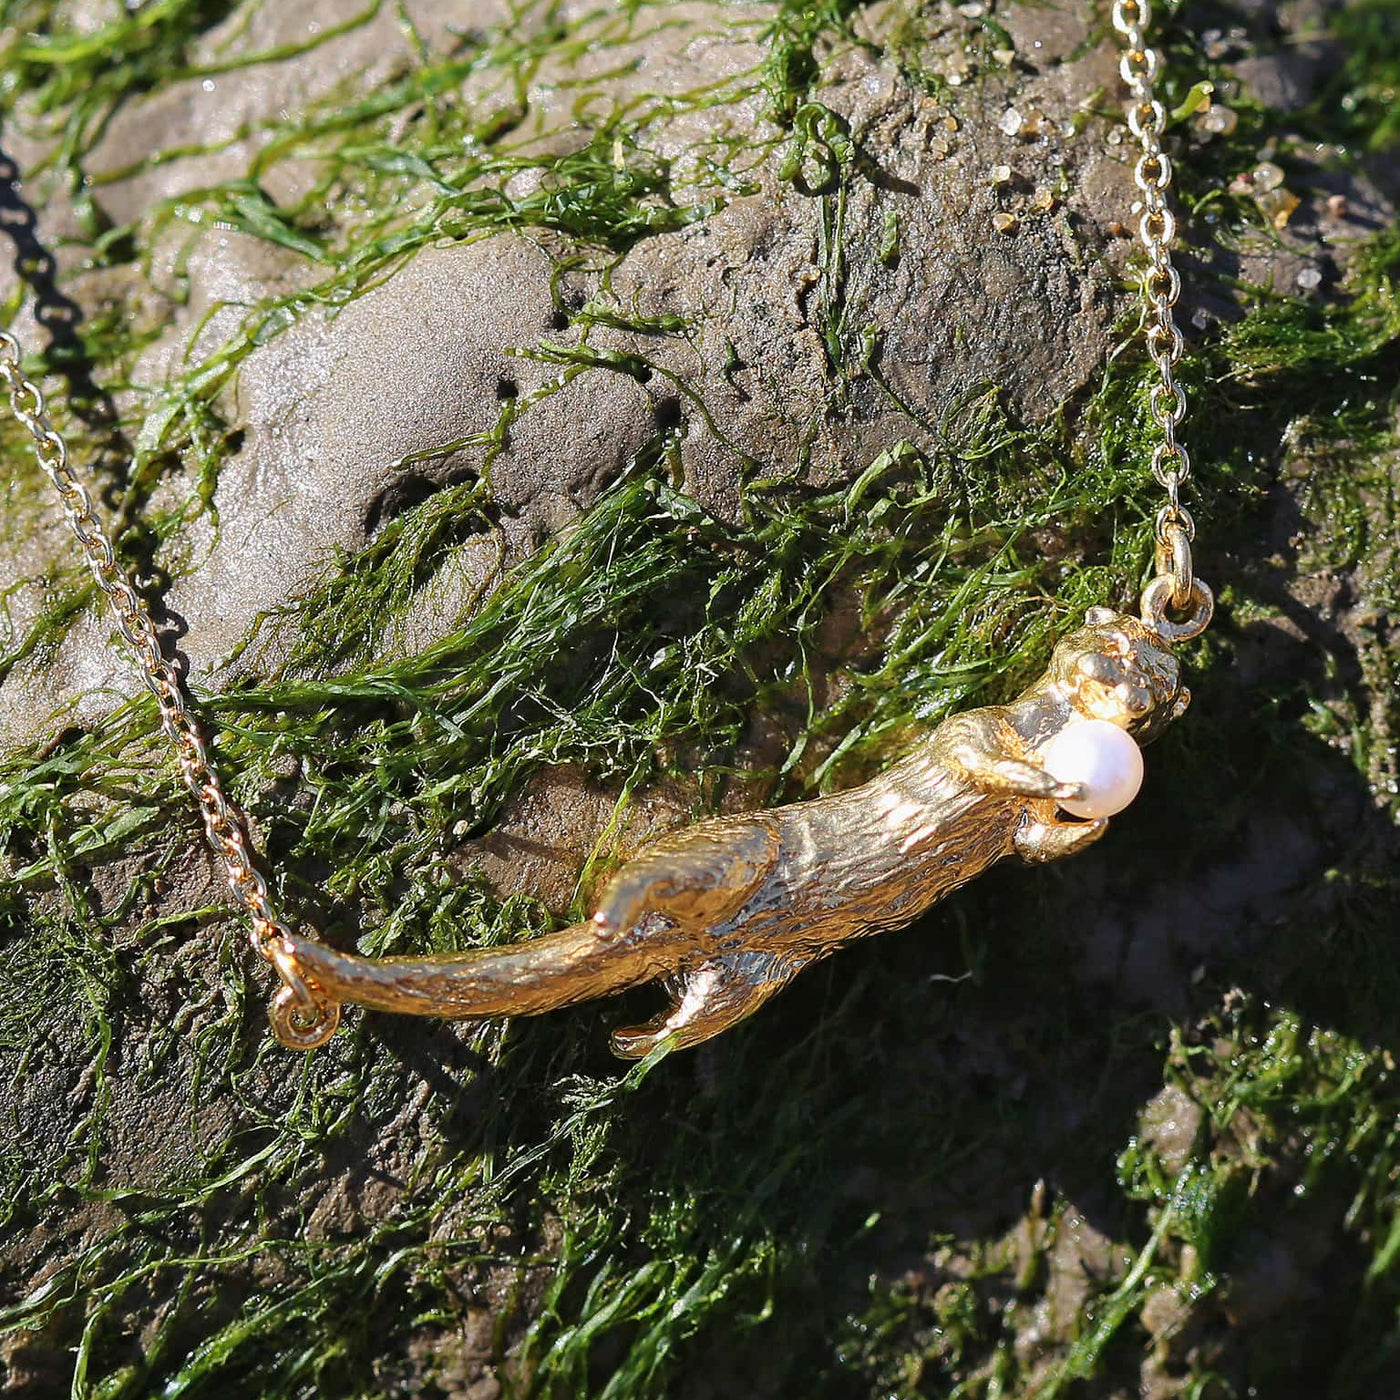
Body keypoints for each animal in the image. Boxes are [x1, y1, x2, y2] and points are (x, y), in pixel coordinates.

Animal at [279, 608, 1189, 1056]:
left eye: (1162, 686)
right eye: (1118, 652)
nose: (1142, 690)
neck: (1049, 727)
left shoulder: (1018, 832)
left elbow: (1032, 843)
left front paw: (1081, 817)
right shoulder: (975, 726)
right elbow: (982, 759)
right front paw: (1058, 780)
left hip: (749, 976)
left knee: (696, 1015)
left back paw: (633, 1037)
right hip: (738, 846)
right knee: (643, 876)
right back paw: (616, 911)